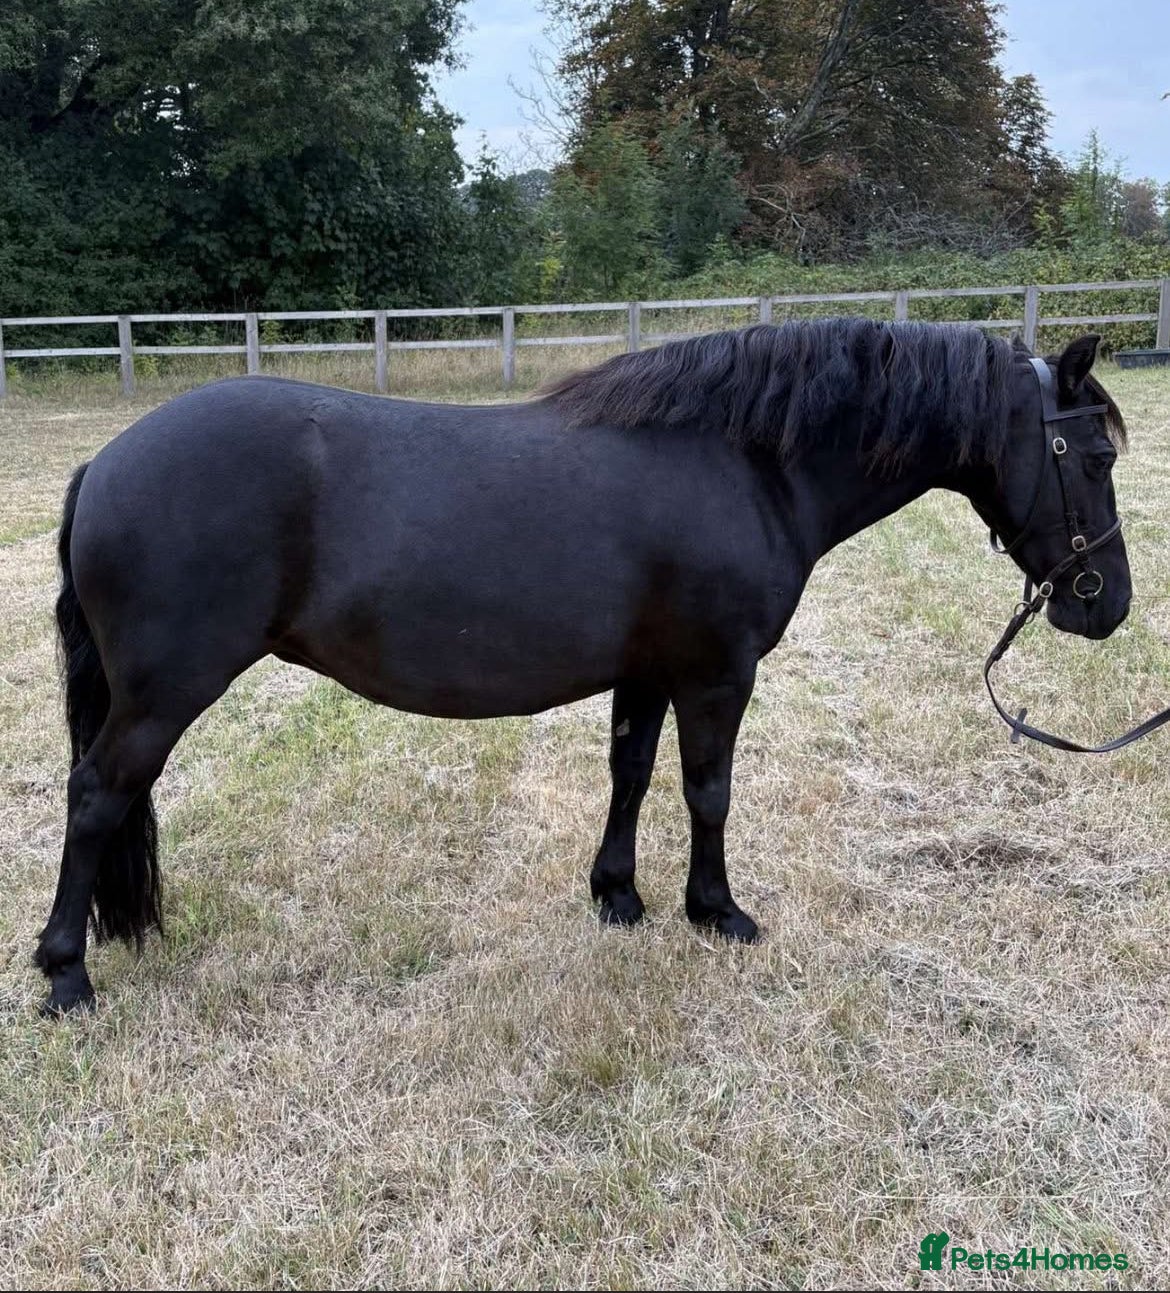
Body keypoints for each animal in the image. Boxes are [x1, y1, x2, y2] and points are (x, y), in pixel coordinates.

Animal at [34, 318, 1130, 1014]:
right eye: (1095, 456)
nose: (1105, 602)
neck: (744, 463)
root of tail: (108, 462)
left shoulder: (646, 671)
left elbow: (631, 775)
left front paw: (618, 896)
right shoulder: (717, 674)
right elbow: (708, 790)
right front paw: (716, 910)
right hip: (161, 695)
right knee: (95, 797)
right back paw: (65, 976)